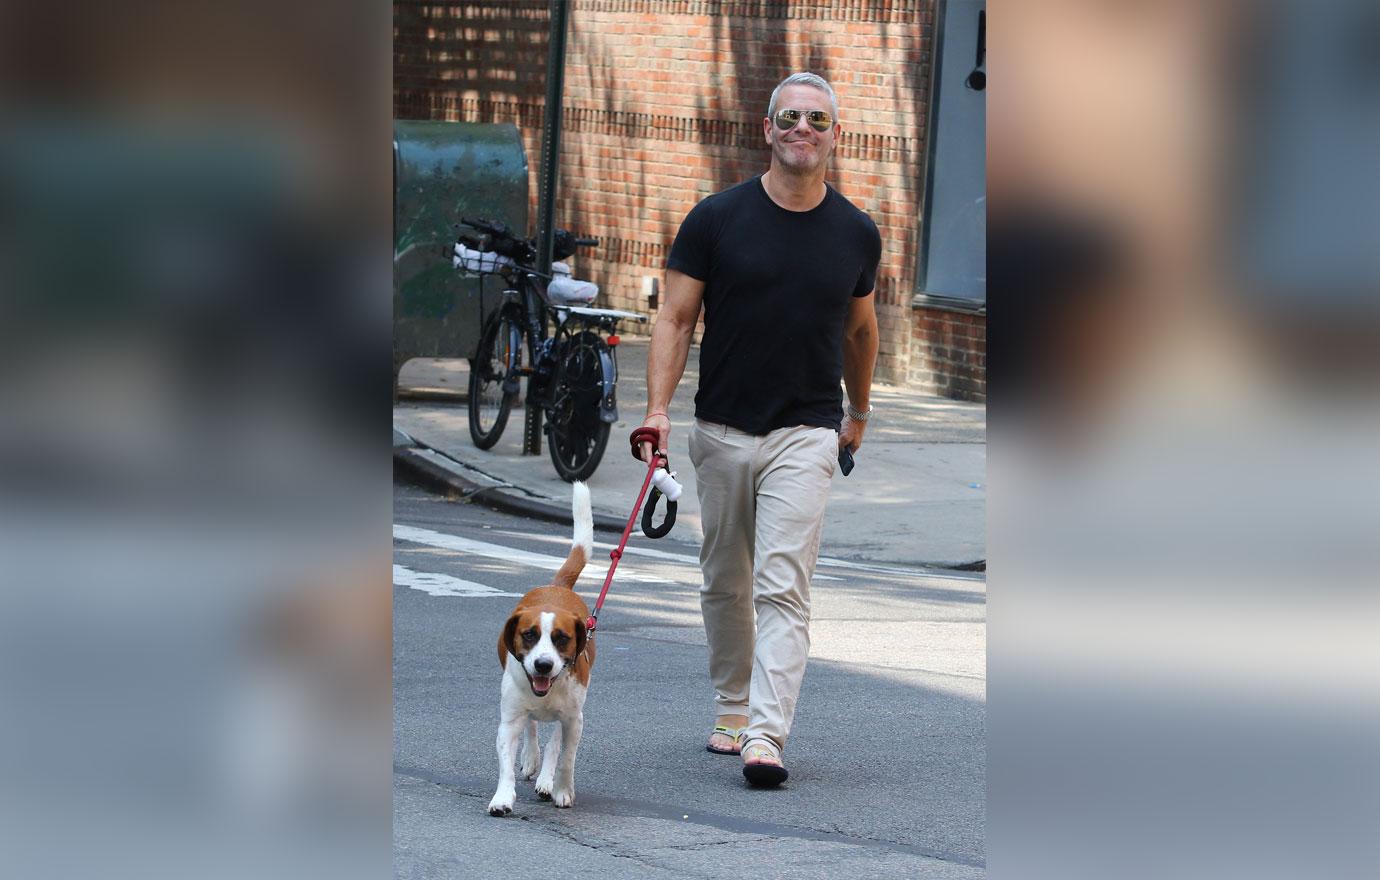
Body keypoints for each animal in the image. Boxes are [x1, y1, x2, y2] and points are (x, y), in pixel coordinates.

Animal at [485, 482, 593, 822]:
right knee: (532, 727)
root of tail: (557, 586)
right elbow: (506, 762)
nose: (543, 665)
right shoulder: (509, 720)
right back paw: (532, 758)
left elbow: (565, 757)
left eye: (561, 638)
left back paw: (546, 778)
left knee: (555, 741)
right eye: (529, 635)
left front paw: (561, 789)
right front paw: (502, 798)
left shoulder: (574, 719)